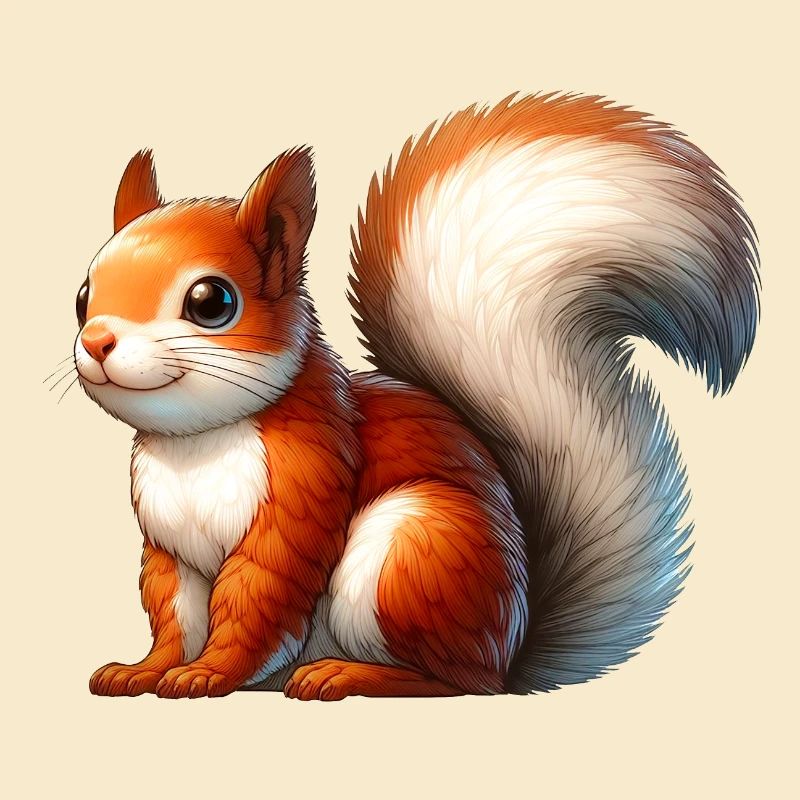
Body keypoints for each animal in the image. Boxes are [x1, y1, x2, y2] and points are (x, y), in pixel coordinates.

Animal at [70, 93, 759, 700]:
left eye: (210, 301)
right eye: (82, 295)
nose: (97, 341)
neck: (196, 445)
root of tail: (507, 655)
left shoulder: (301, 491)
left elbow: (257, 598)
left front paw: (208, 674)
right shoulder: (168, 546)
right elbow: (173, 614)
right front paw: (144, 670)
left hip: (414, 550)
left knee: (452, 683)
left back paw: (350, 675)